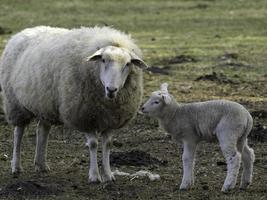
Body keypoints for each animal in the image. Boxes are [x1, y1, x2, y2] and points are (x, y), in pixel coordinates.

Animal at [0, 25, 149, 182]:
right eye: (102, 60)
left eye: (127, 64)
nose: (111, 89)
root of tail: (22, 32)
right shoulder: (85, 117)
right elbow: (93, 144)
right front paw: (94, 176)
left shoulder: (111, 119)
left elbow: (107, 144)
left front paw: (108, 175)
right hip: (15, 103)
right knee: (18, 133)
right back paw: (16, 167)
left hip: (45, 104)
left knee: (42, 130)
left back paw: (41, 165)